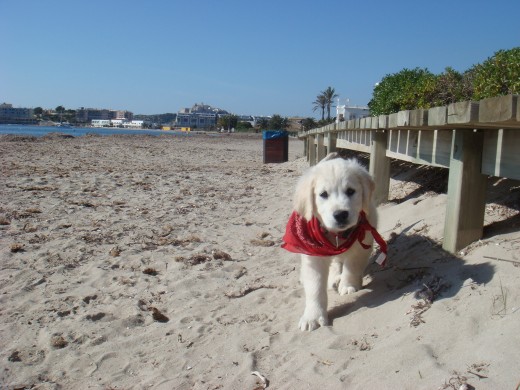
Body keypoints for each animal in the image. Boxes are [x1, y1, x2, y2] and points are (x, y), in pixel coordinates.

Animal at [284, 154, 382, 330]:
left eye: (350, 191)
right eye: (323, 194)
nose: (340, 214)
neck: (338, 235)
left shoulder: (362, 244)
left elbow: (352, 266)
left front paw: (349, 285)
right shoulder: (313, 256)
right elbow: (315, 286)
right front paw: (313, 316)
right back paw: (334, 277)